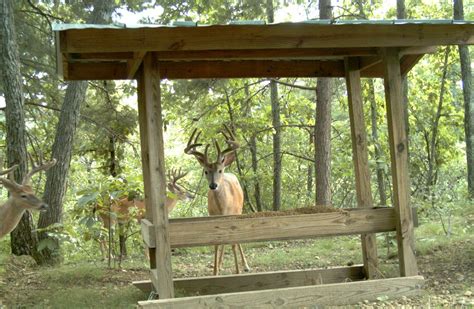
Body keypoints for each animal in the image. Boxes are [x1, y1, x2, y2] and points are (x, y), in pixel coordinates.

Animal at [185, 124, 252, 274]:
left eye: (219, 170)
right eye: (206, 171)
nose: (213, 185)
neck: (223, 207)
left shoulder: (233, 215)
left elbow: (233, 243)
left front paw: (237, 271)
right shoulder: (212, 217)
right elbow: (216, 243)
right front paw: (215, 271)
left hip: (240, 210)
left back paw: (245, 265)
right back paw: (220, 265)